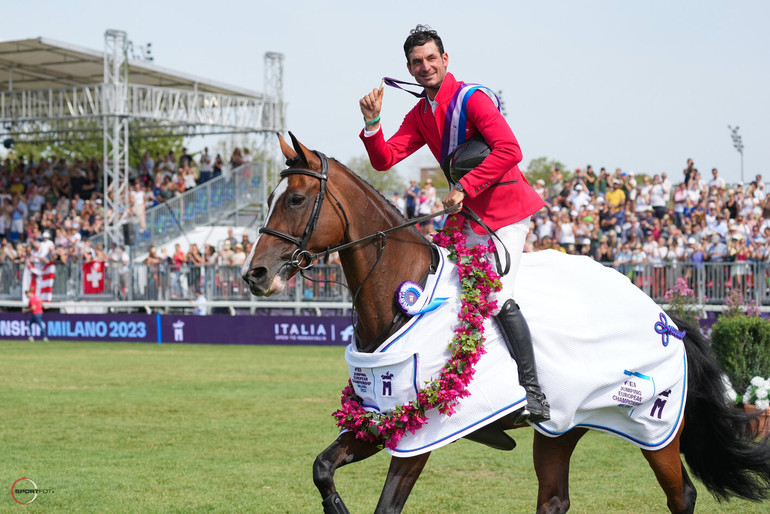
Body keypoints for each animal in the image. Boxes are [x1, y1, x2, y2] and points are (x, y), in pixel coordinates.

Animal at [242, 133, 768, 512]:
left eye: (295, 200)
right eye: (269, 197)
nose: (254, 274)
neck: (403, 297)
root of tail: (666, 318)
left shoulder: (421, 435)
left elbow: (386, 506)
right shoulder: (380, 418)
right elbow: (322, 468)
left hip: (655, 429)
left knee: (682, 495)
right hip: (560, 428)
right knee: (554, 500)